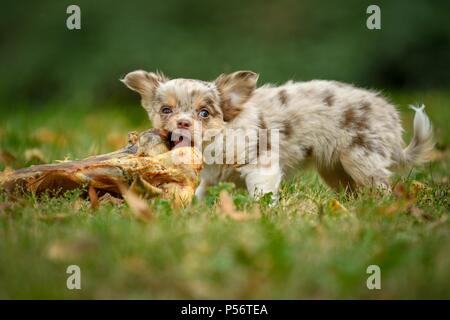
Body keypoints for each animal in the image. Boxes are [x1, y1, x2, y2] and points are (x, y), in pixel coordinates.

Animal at [121, 71, 434, 199]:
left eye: (204, 113)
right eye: (166, 110)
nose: (183, 123)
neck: (216, 142)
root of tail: (391, 118)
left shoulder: (261, 163)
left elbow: (261, 193)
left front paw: (260, 213)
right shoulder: (212, 176)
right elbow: (202, 192)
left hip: (360, 158)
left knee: (381, 186)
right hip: (334, 168)